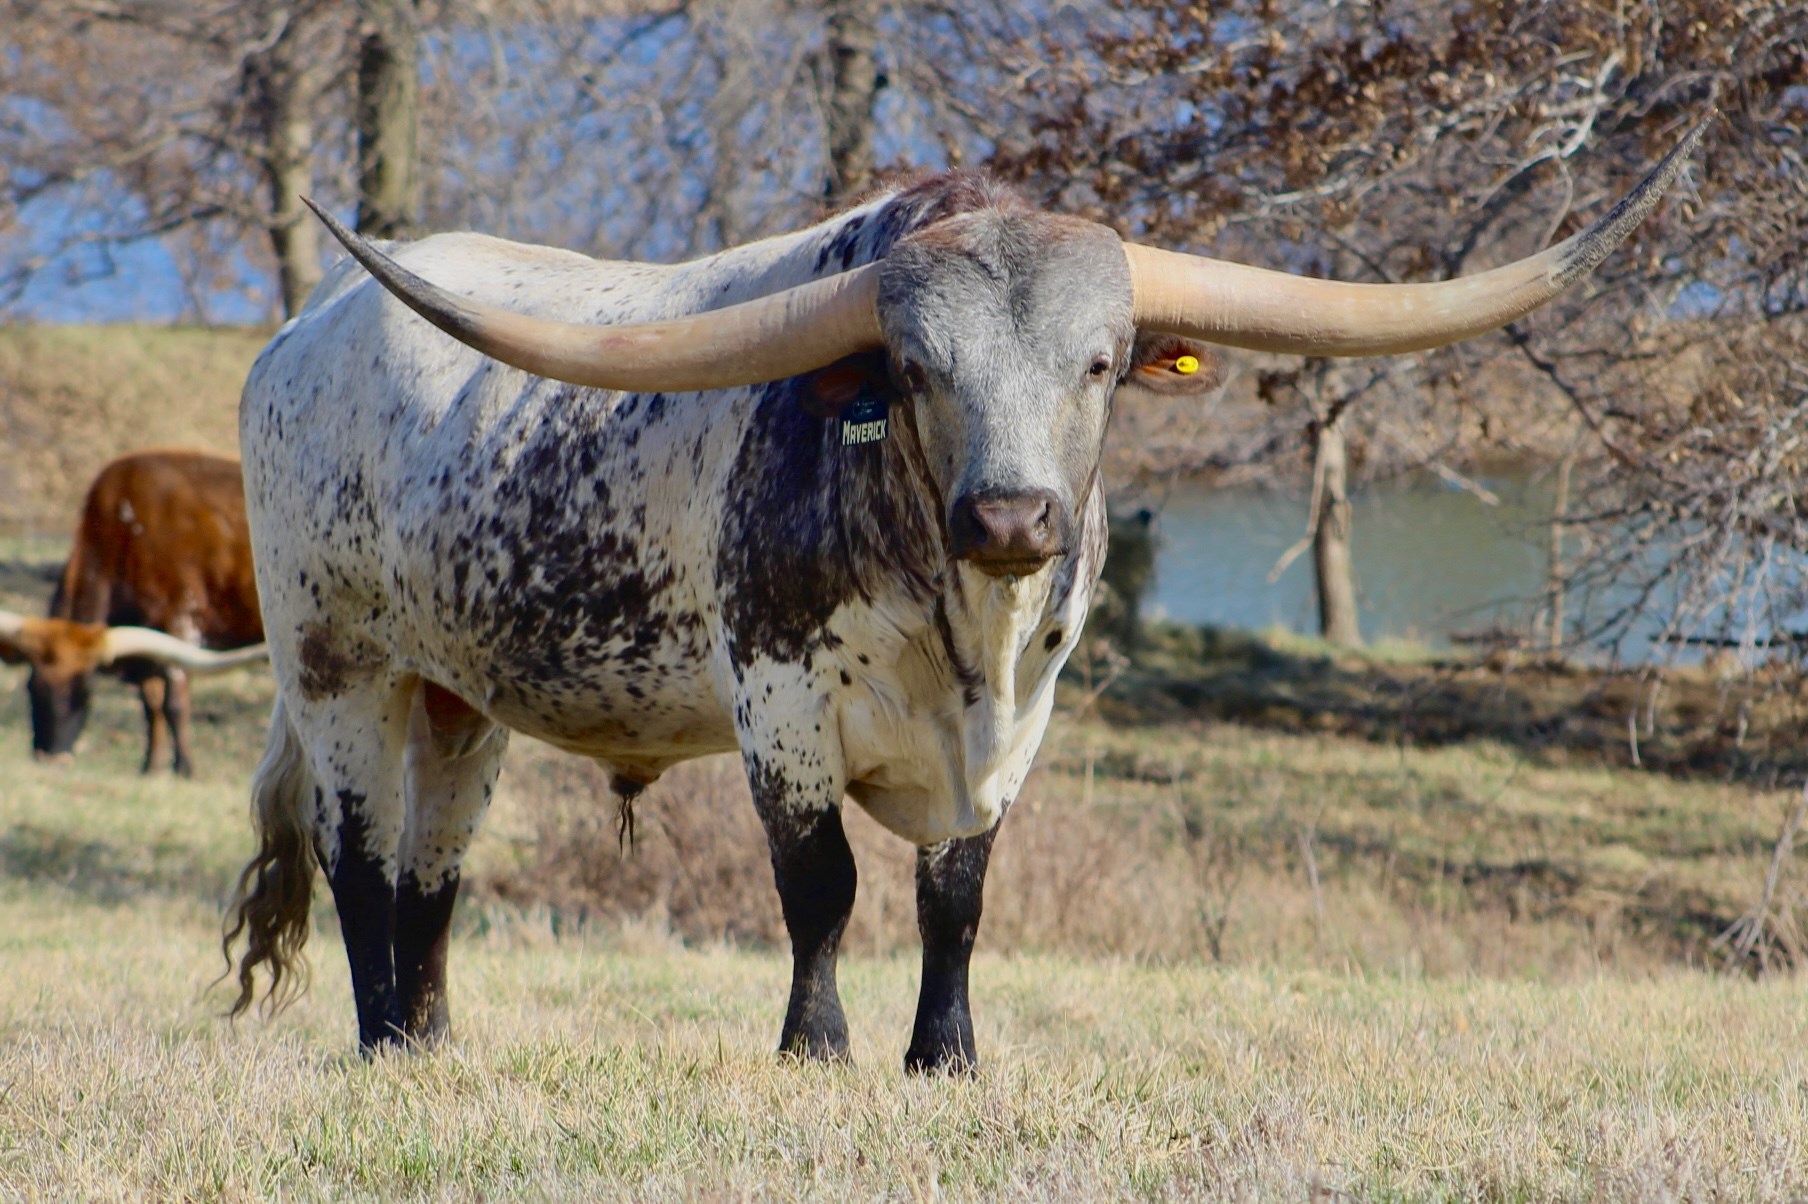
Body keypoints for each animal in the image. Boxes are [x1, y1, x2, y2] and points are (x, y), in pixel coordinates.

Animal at [0, 449, 269, 776]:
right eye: (31, 687)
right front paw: (151, 766)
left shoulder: (182, 621)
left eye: (86, 692)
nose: (52, 759)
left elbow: (174, 704)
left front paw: (185, 768)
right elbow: (151, 705)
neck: (127, 528)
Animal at [224, 116, 1709, 1068]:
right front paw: (817, 1052)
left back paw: (433, 1045)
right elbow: (820, 888)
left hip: (457, 693)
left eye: (1102, 362)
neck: (964, 632)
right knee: (360, 858)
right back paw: (377, 1044)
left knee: (433, 870)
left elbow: (957, 896)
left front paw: (944, 1057)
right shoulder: (780, 707)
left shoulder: (1018, 722)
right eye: (913, 369)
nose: (1011, 514)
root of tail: (300, 336)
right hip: (334, 659)